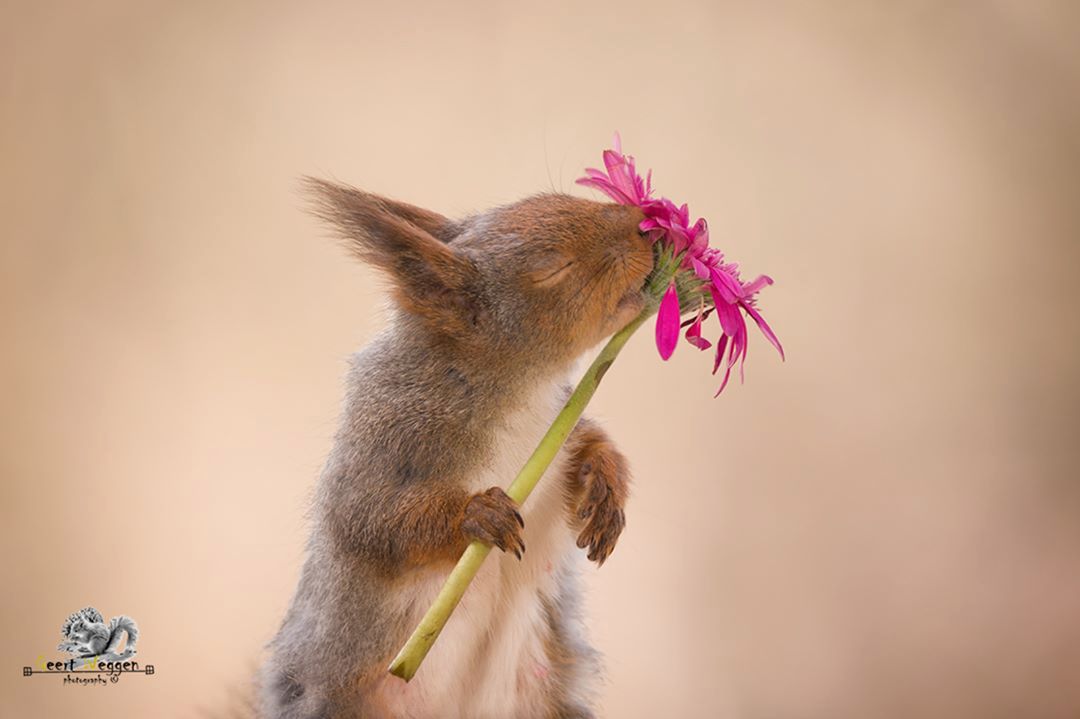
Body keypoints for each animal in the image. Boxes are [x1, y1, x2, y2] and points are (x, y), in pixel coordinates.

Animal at [257, 178, 652, 716]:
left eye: (563, 199)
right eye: (553, 266)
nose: (647, 225)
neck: (516, 385)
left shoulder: (560, 425)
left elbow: (593, 441)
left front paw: (606, 489)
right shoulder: (384, 436)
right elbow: (371, 519)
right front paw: (477, 515)